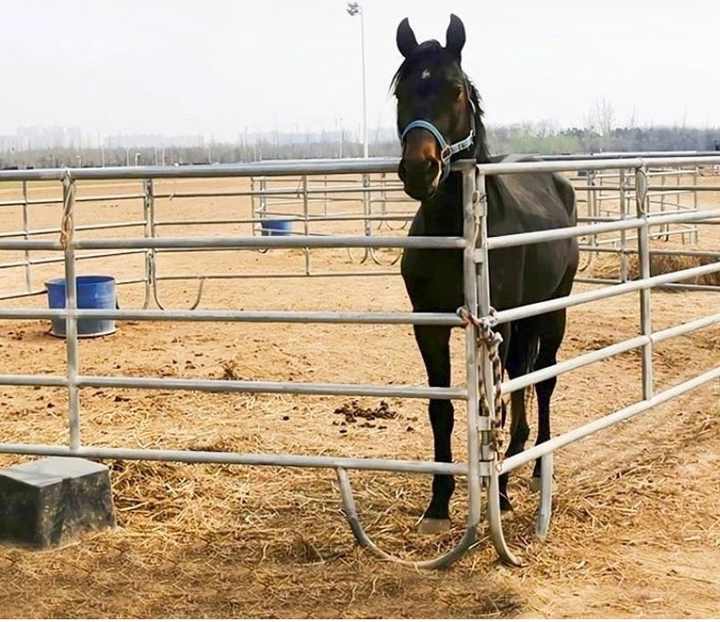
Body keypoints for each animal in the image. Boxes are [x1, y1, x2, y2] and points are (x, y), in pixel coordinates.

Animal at [395, 14, 579, 534]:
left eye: (455, 90)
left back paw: (532, 468)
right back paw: (515, 453)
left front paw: (497, 493)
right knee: (520, 375)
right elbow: (442, 407)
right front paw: (438, 504)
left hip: (550, 311)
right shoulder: (429, 323)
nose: (420, 169)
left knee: (541, 378)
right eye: (400, 92)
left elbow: (491, 401)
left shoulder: (498, 321)